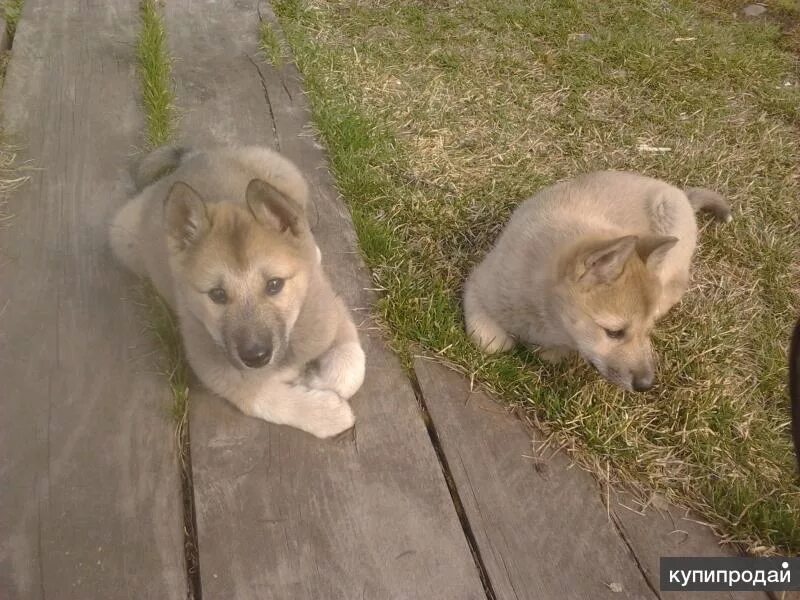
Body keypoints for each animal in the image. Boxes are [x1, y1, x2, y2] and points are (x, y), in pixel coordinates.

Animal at [110, 145, 366, 436]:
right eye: (217, 294)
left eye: (274, 285)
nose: (255, 358)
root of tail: (191, 159)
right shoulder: (219, 373)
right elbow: (264, 398)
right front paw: (326, 412)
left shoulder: (333, 312)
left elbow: (350, 368)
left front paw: (314, 379)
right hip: (123, 239)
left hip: (288, 178)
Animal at [462, 170, 732, 394]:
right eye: (614, 332)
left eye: (647, 331)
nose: (646, 385)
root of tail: (682, 194)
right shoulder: (477, 283)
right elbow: (491, 342)